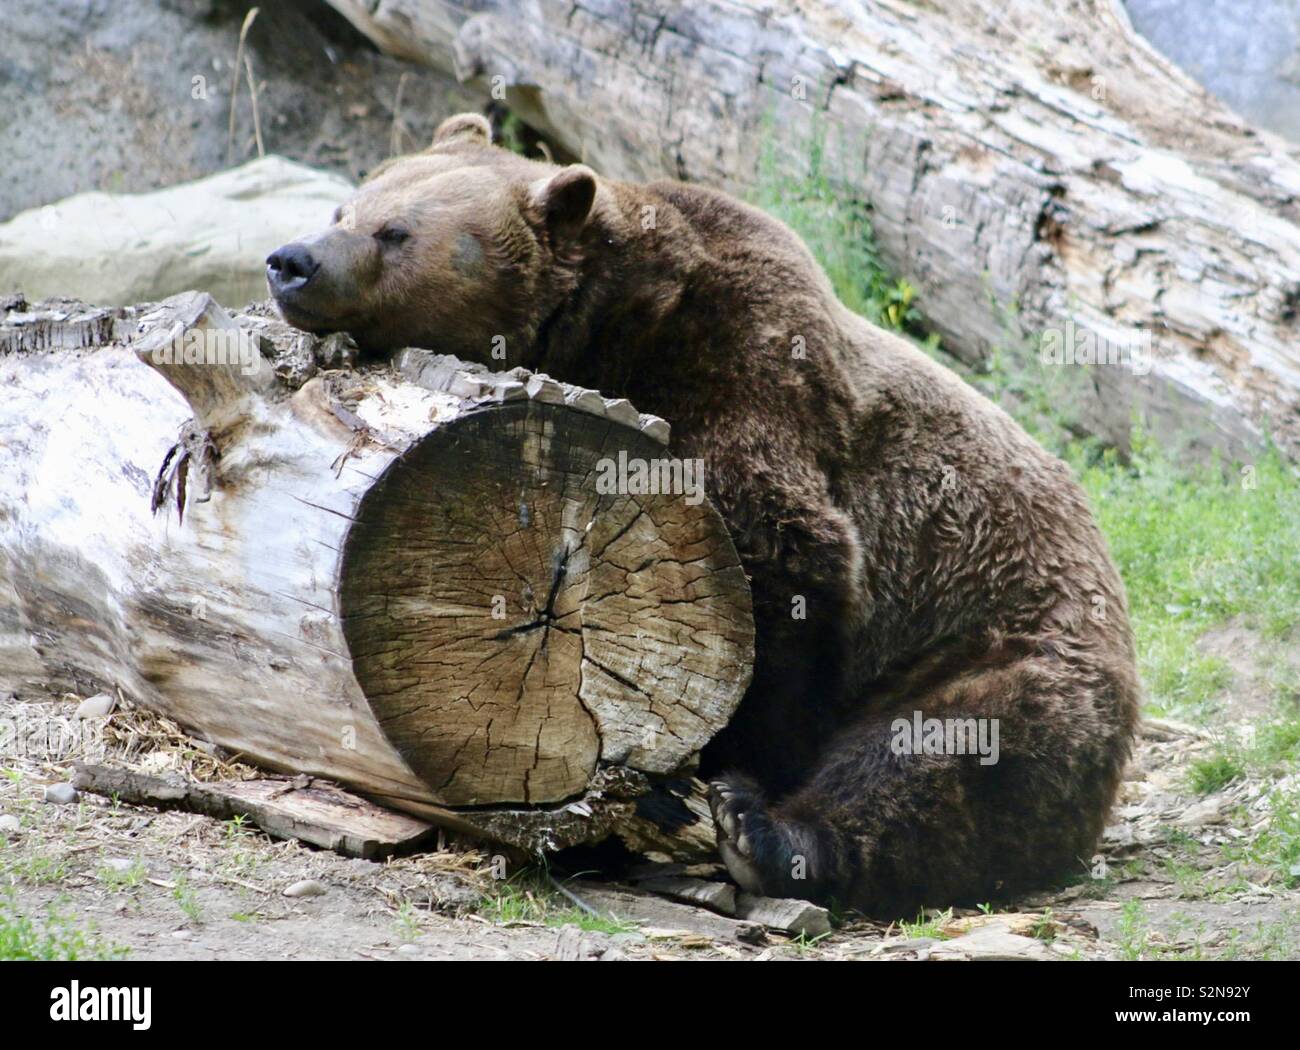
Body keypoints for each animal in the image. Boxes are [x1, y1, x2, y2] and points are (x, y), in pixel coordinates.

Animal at [266, 113, 1138, 909]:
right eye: (348, 205)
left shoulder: (745, 369)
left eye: (396, 232)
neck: (613, 329)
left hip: (1001, 636)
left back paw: (767, 836)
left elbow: (786, 569)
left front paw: (702, 774)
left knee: (947, 750)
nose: (291, 261)